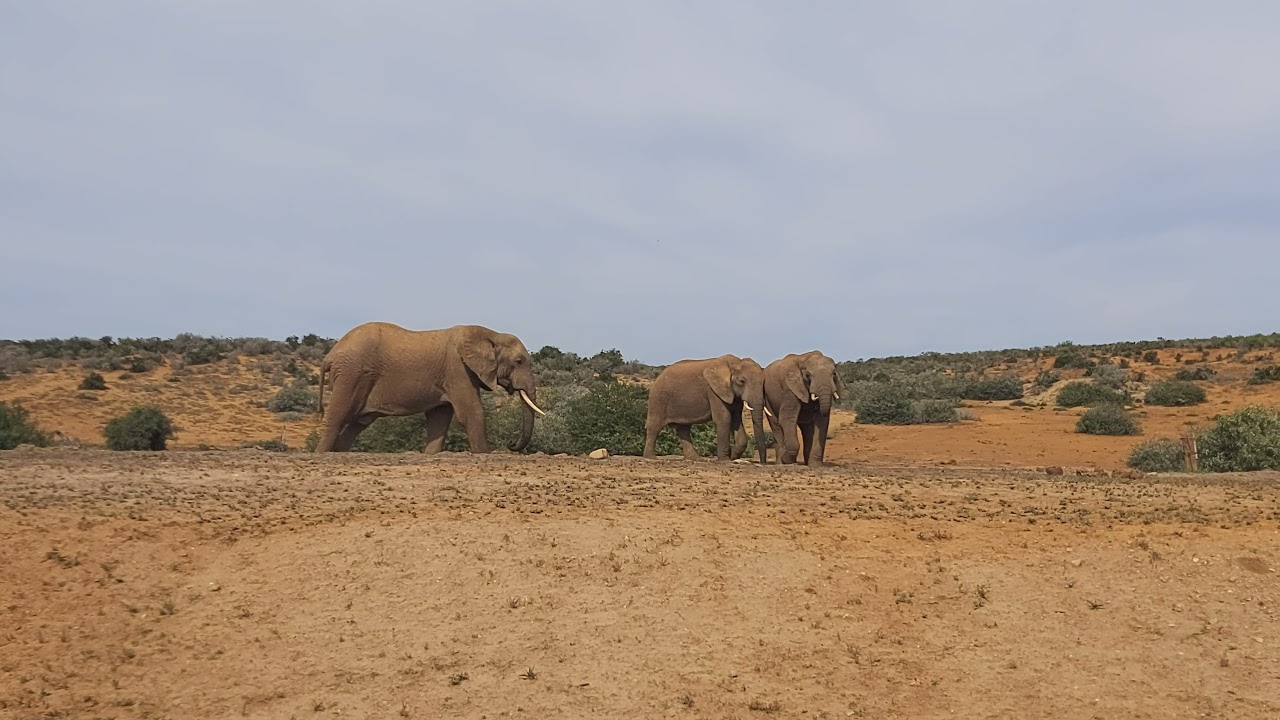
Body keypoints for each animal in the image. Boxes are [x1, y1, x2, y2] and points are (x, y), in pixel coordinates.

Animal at [315, 322, 545, 453]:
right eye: (519, 362)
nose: (510, 444)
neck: (492, 334)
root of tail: (330, 356)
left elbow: (439, 418)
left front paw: (431, 454)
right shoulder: (457, 369)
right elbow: (471, 412)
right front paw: (483, 454)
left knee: (358, 423)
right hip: (351, 375)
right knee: (337, 416)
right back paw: (323, 453)